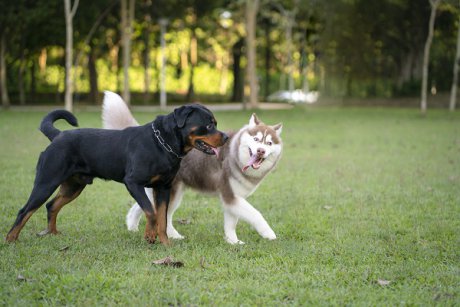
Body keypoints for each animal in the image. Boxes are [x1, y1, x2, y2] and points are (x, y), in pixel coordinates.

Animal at [3, 104, 226, 247]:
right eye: (208, 125)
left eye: (216, 123)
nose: (225, 137)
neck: (163, 144)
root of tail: (57, 135)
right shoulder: (133, 182)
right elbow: (151, 212)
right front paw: (149, 236)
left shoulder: (163, 188)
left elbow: (162, 218)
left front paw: (165, 243)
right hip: (46, 181)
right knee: (25, 211)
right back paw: (10, 240)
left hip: (74, 186)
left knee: (52, 205)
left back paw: (53, 234)